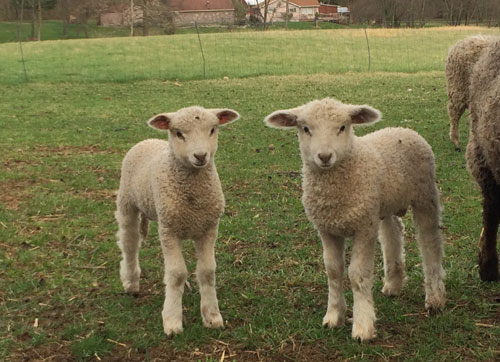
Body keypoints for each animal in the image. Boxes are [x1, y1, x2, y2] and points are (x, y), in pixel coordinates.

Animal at [117, 106, 242, 336]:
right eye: (178, 133)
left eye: (213, 129)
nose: (200, 155)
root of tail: (147, 140)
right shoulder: (169, 231)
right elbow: (176, 274)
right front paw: (172, 320)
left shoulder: (209, 228)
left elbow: (207, 272)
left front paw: (212, 316)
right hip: (127, 203)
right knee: (129, 244)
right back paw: (131, 283)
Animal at [264, 97, 448, 340]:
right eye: (305, 128)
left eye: (343, 127)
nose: (324, 157)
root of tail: (403, 129)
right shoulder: (328, 229)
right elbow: (334, 271)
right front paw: (334, 316)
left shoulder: (363, 228)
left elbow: (358, 275)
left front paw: (362, 325)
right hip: (382, 205)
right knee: (393, 232)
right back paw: (393, 283)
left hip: (424, 196)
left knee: (430, 242)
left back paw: (435, 297)